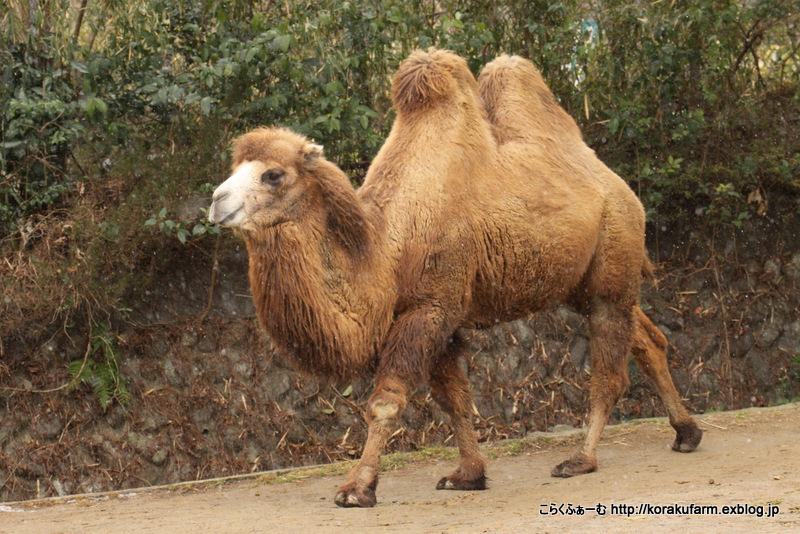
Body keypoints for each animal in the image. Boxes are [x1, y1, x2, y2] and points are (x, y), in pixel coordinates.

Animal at [206, 48, 700, 508]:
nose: (215, 202)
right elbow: (455, 401)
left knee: (609, 370)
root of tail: (616, 182)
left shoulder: (430, 308)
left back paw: (581, 459)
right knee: (648, 338)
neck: (387, 250)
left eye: (273, 174)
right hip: (581, 282)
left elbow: (387, 402)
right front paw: (468, 475)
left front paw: (356, 488)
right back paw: (687, 432)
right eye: (233, 171)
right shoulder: (441, 320)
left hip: (613, 252)